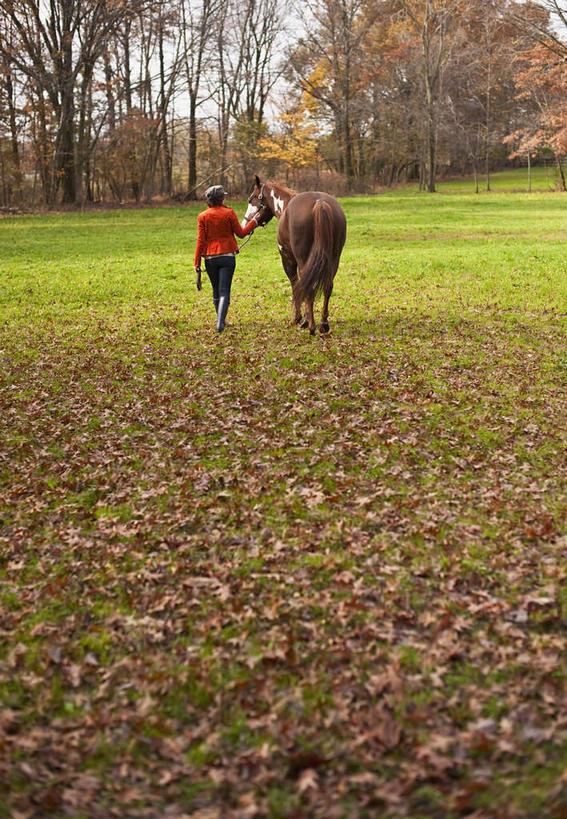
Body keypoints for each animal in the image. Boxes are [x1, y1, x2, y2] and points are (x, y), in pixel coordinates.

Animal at [243, 177, 348, 336]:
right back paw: (323, 323)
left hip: (304, 261)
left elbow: (295, 285)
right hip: (333, 260)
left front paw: (300, 319)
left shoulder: (288, 260)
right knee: (327, 287)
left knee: (308, 288)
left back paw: (311, 326)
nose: (245, 223)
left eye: (251, 199)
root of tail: (320, 202)